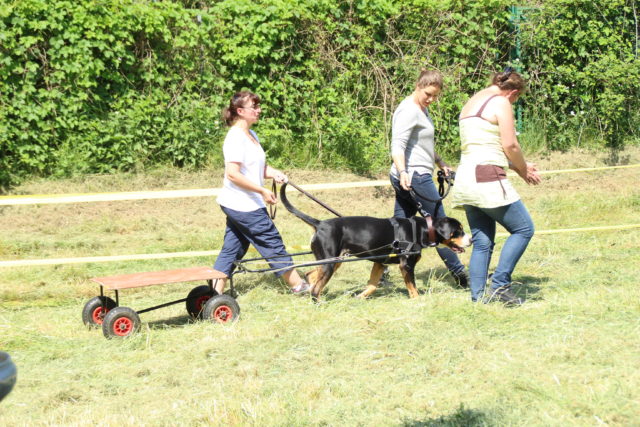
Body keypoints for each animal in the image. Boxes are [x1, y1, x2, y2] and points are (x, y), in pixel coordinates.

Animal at [282, 184, 472, 300]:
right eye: (459, 230)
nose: (471, 239)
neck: (422, 229)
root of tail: (320, 224)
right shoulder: (406, 265)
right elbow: (413, 288)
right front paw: (419, 301)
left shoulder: (380, 263)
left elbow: (372, 285)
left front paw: (360, 297)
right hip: (330, 262)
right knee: (316, 287)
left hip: (335, 260)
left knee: (311, 275)